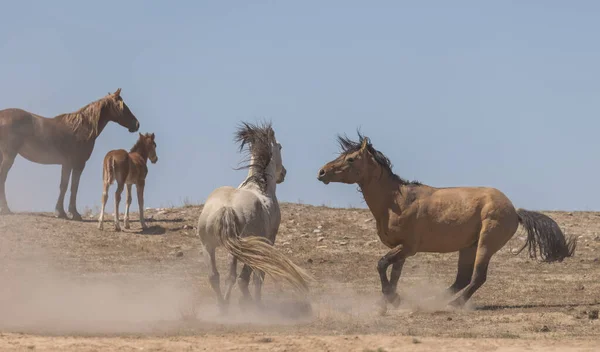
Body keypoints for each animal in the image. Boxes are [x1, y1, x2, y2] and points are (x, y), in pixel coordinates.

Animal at [0, 89, 139, 219]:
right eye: (123, 107)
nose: (136, 124)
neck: (81, 129)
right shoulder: (77, 164)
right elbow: (70, 186)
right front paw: (70, 213)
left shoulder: (66, 164)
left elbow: (65, 186)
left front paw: (62, 211)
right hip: (9, 156)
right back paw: (6, 209)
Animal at [197, 122, 312, 312]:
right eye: (280, 146)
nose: (283, 173)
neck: (259, 186)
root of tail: (227, 207)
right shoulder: (269, 241)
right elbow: (259, 276)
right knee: (239, 278)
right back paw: (247, 305)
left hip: (209, 246)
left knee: (216, 276)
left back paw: (223, 307)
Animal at [318, 132, 576, 314]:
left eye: (351, 159)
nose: (321, 172)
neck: (397, 202)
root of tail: (515, 211)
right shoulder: (402, 250)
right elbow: (394, 274)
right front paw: (387, 302)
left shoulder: (408, 247)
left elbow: (381, 265)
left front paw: (393, 300)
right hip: (468, 247)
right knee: (462, 278)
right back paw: (434, 300)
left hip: (486, 243)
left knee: (477, 277)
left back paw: (453, 304)